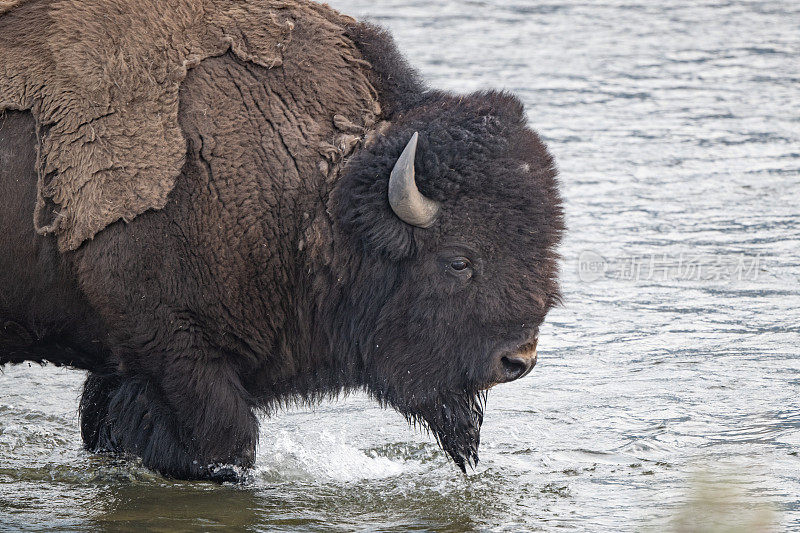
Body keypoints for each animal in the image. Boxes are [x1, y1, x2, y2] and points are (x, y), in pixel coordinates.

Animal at [0, 0, 564, 482]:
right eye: (459, 261)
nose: (518, 360)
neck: (315, 195)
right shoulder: (175, 351)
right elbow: (224, 445)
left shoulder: (123, 367)